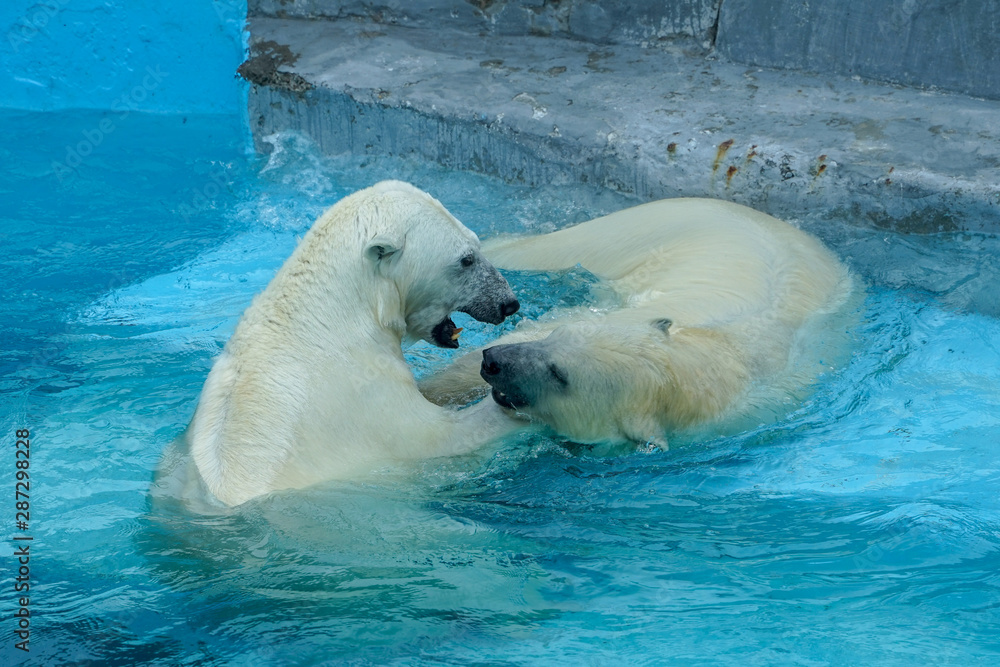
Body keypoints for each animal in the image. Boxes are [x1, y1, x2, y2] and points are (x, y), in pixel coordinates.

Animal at [156, 181, 524, 506]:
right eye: (466, 259)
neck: (331, 315)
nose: (508, 303)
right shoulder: (365, 400)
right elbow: (444, 437)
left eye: (477, 245)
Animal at [418, 198, 856, 448]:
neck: (718, 355)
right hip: (633, 229)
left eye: (560, 374)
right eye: (557, 335)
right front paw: (431, 391)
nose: (493, 361)